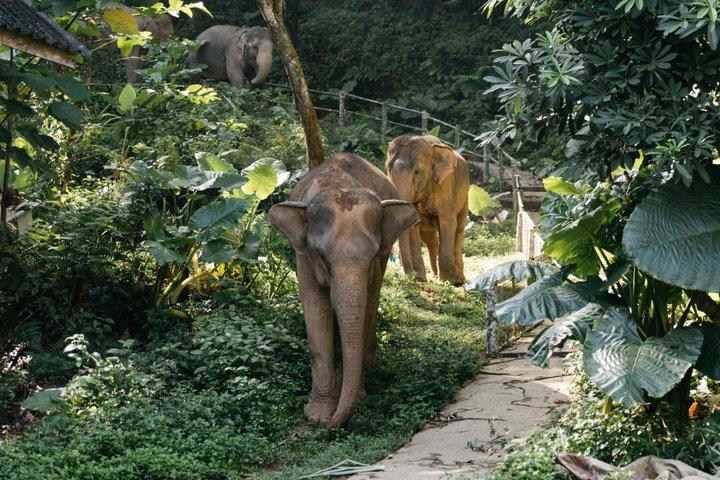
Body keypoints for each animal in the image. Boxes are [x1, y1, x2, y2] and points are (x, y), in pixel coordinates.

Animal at [269, 153, 419, 427]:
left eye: (371, 258)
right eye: (323, 259)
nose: (332, 424)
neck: (335, 185)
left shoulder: (379, 260)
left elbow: (367, 304)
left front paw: (355, 398)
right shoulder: (303, 256)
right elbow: (316, 309)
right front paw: (317, 416)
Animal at [385, 134, 470, 286]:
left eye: (417, 172)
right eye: (388, 169)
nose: (410, 276)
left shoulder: (446, 185)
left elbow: (448, 223)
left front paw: (451, 281)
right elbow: (415, 225)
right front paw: (420, 278)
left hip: (465, 198)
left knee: (459, 230)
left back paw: (460, 279)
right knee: (429, 236)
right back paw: (435, 275)